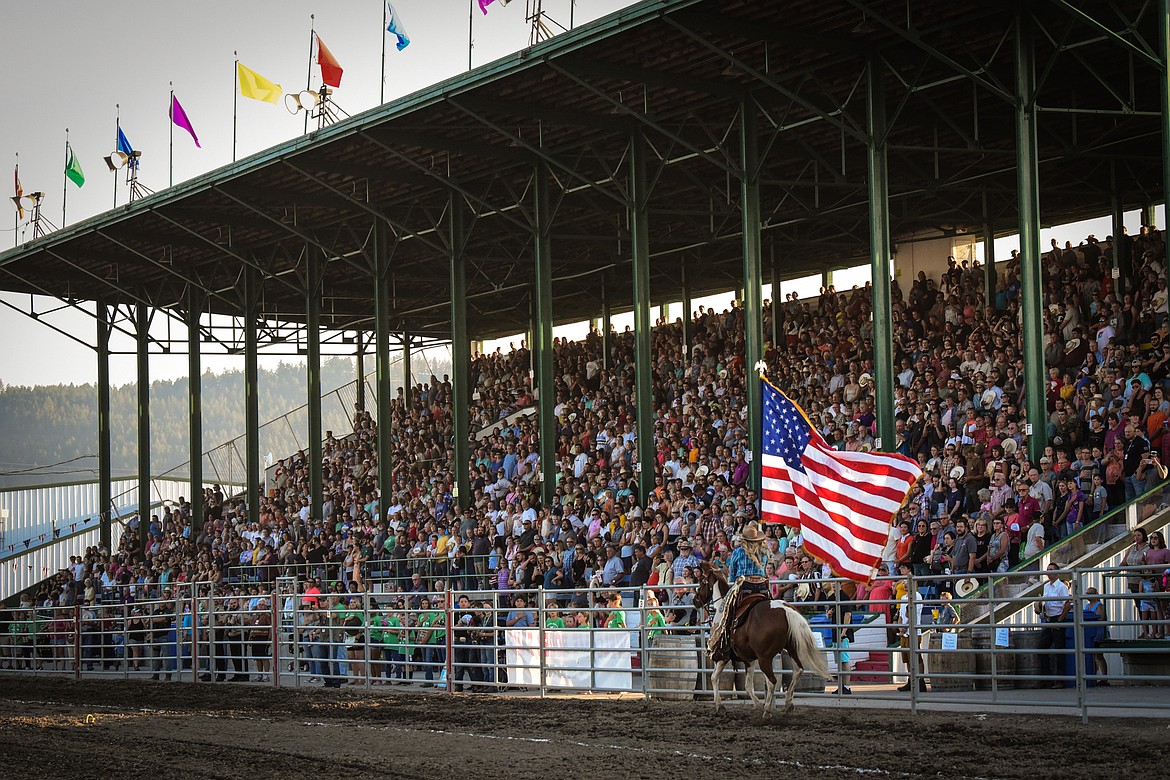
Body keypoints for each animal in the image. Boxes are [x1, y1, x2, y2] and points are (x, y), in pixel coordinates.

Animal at [692, 561, 833, 715]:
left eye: (702, 582)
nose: (695, 600)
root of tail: (786, 610)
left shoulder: (724, 655)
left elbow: (714, 677)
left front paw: (720, 705)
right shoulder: (749, 658)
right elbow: (747, 685)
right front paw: (757, 703)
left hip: (764, 657)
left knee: (772, 680)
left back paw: (767, 710)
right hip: (792, 649)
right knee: (798, 671)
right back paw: (788, 703)